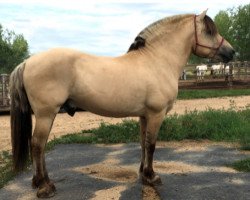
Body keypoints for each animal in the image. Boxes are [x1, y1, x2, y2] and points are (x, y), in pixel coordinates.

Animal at [10, 10, 234, 198]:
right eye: (209, 31)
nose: (231, 52)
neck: (157, 61)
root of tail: (27, 62)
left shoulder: (145, 115)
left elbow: (143, 143)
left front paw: (143, 174)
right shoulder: (156, 114)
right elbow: (151, 145)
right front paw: (152, 176)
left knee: (40, 147)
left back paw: (41, 182)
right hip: (46, 114)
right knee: (37, 146)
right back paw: (44, 186)